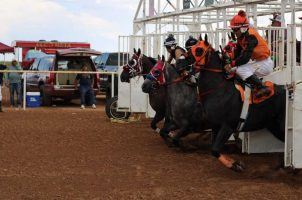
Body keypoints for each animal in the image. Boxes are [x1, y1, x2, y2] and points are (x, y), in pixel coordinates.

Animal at [179, 34, 288, 172]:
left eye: (199, 50)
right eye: (191, 47)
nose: (179, 62)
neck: (218, 89)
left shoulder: (228, 126)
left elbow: (215, 149)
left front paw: (235, 165)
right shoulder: (216, 125)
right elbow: (214, 149)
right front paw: (234, 162)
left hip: (282, 125)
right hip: (274, 126)